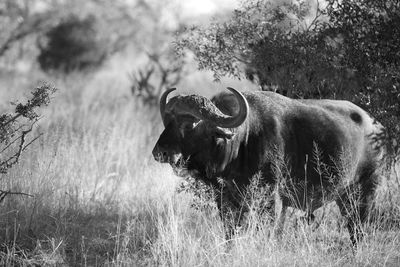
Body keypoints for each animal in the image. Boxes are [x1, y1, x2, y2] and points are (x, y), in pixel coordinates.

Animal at [152, 87, 384, 245]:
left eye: (189, 123)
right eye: (168, 121)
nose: (159, 152)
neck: (243, 141)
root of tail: (376, 126)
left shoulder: (271, 199)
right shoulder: (227, 202)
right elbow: (230, 233)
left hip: (365, 192)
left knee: (358, 230)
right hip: (344, 197)